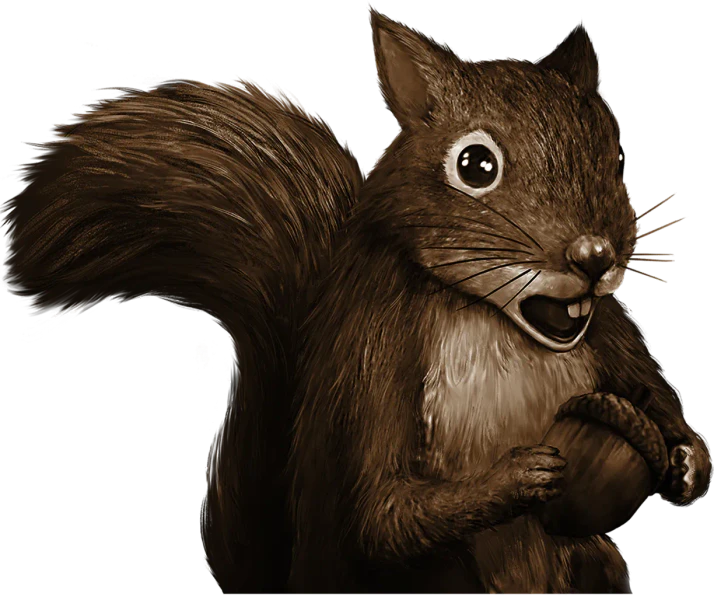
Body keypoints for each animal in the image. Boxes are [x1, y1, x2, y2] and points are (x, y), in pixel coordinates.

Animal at [4, 5, 712, 597]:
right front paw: (522, 474)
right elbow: (379, 509)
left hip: (590, 566)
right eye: (475, 166)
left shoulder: (611, 329)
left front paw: (684, 461)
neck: (498, 322)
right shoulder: (373, 350)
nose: (593, 257)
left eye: (614, 155)